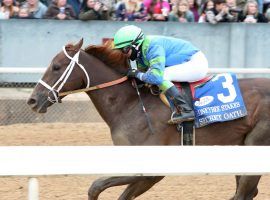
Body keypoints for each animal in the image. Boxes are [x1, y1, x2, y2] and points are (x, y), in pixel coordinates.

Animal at [27, 39, 270, 200]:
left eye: (56, 67)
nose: (32, 100)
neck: (130, 104)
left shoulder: (152, 169)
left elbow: (96, 186)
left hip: (256, 144)